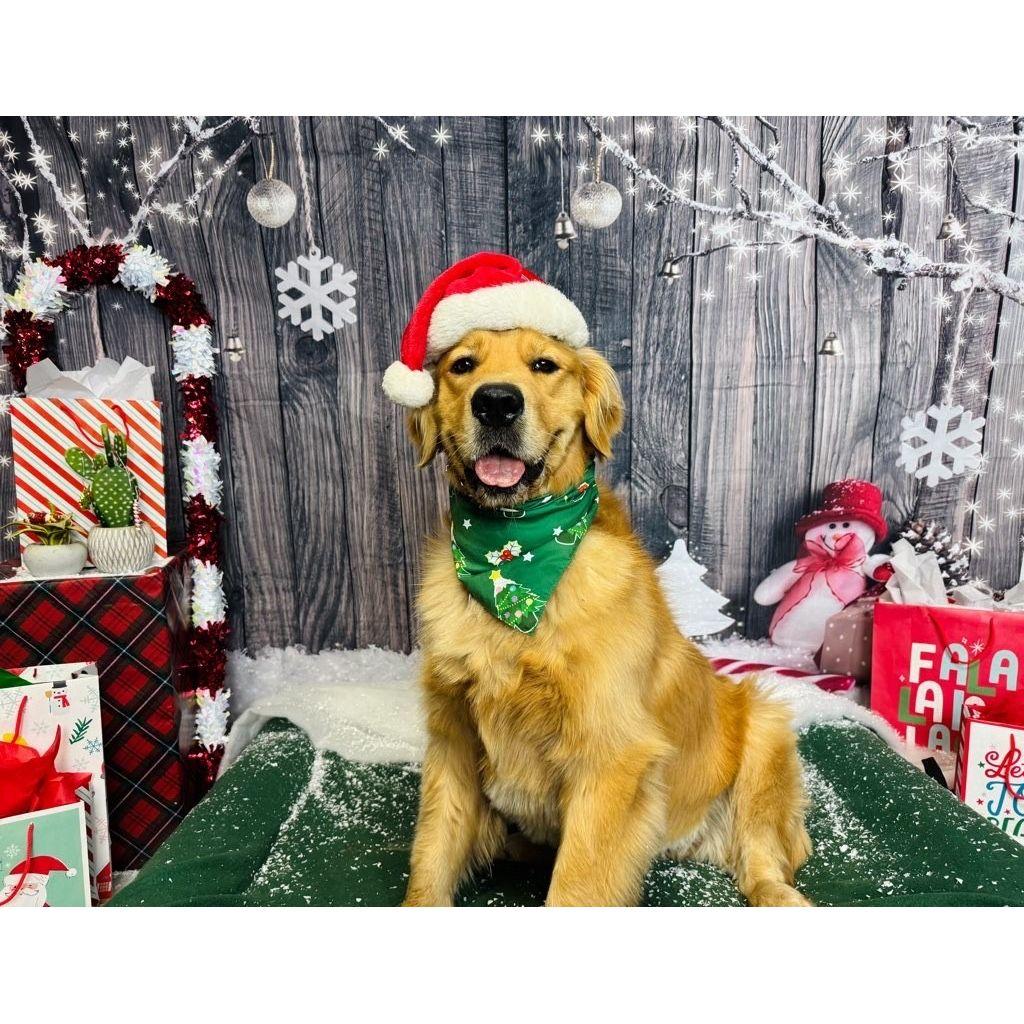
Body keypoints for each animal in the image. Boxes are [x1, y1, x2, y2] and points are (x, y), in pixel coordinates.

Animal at [399, 325, 812, 907]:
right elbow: (433, 853)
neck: (514, 558)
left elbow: (575, 886)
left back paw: (779, 894)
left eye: (544, 365)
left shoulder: (611, 757)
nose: (496, 402)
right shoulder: (452, 738)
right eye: (462, 365)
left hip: (765, 731)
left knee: (762, 855)